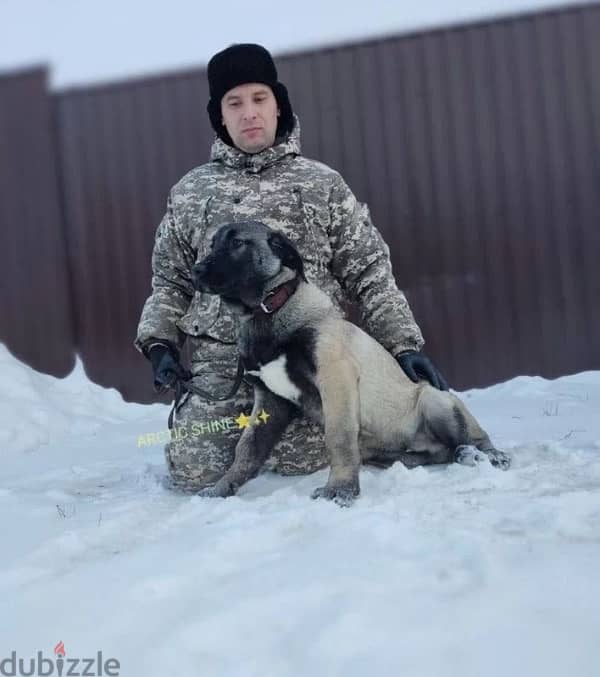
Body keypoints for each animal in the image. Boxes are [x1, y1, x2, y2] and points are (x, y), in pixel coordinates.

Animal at [193, 219, 510, 504]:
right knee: (442, 452)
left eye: (237, 243)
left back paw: (488, 455)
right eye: (212, 244)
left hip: (436, 399)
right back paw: (461, 454)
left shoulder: (336, 378)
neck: (266, 312)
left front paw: (340, 489)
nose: (196, 270)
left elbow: (338, 437)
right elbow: (247, 448)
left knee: (474, 437)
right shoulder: (270, 401)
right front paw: (222, 488)